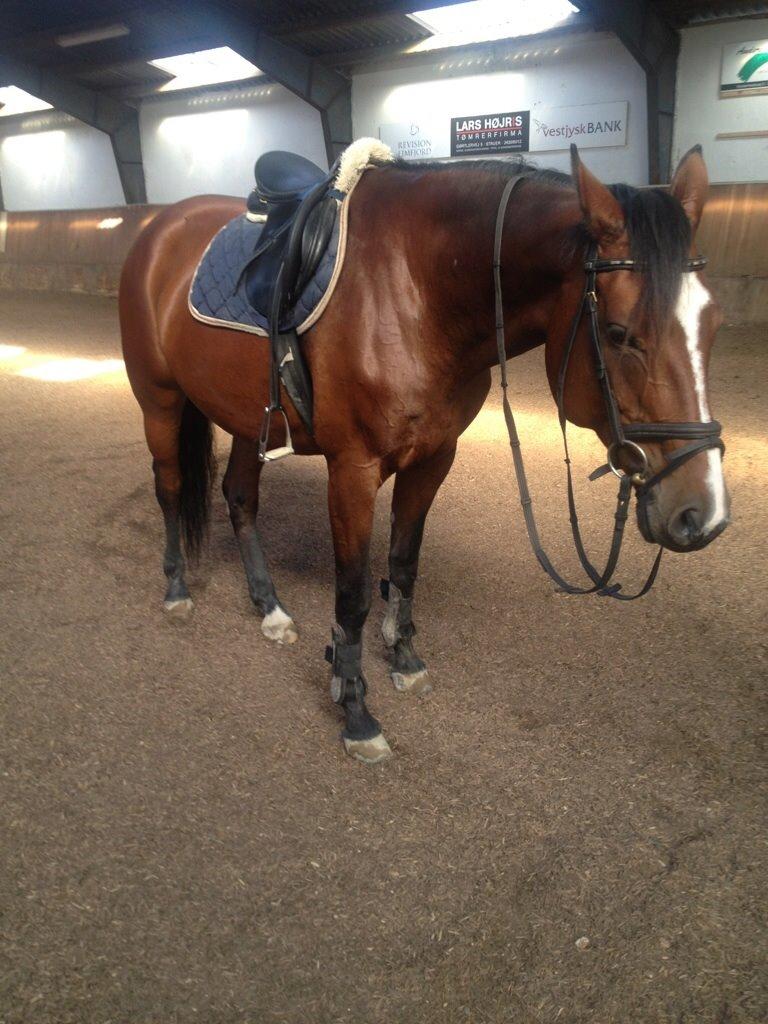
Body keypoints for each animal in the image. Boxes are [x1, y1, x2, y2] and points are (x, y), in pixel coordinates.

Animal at [119, 141, 729, 764]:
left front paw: (405, 660)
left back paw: (269, 609)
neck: (418, 290)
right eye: (619, 333)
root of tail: (161, 225)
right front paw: (355, 710)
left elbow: (403, 564)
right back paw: (177, 590)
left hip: (250, 418)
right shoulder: (353, 469)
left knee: (240, 498)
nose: (701, 514)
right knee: (171, 489)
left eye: (713, 325)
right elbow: (352, 594)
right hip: (160, 402)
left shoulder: (434, 457)